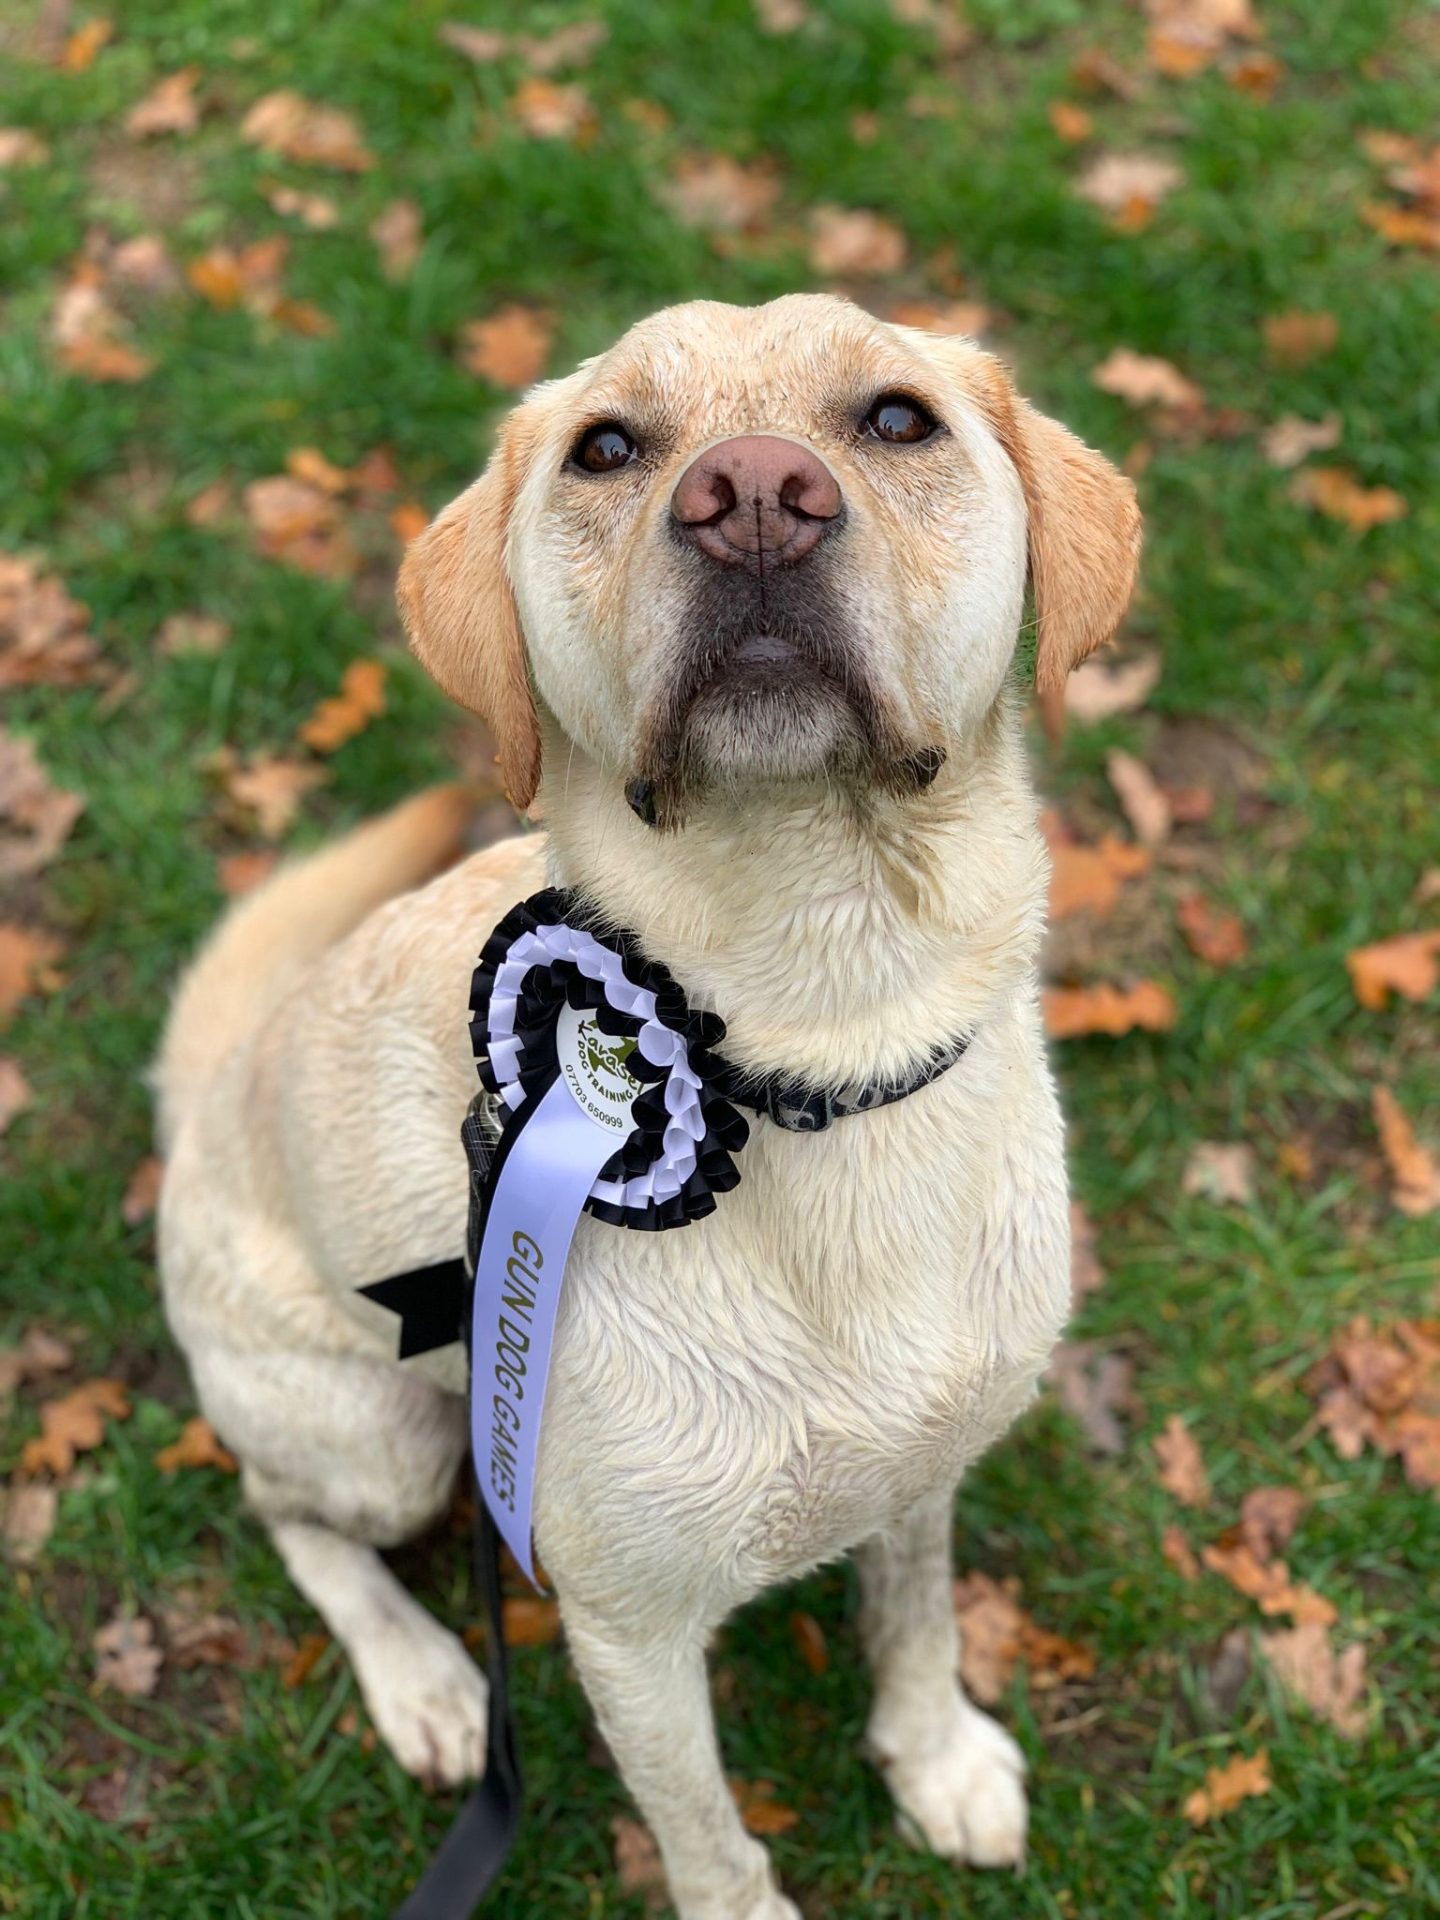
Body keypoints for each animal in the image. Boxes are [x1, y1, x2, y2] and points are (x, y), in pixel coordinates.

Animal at [155, 292, 1139, 1919]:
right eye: (607, 449)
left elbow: (920, 1617)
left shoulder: (927, 1469)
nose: (754, 498)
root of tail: (203, 1102)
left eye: (897, 419)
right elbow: (706, 1834)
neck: (821, 1036)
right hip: (382, 1443)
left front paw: (937, 1760)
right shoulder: (627, 1627)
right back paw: (425, 1682)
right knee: (284, 1513)